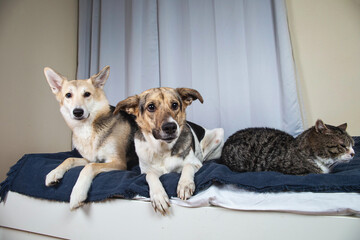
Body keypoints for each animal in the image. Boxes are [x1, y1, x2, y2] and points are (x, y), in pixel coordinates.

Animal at [43, 66, 136, 210]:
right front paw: (54, 172)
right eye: (68, 95)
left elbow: (89, 167)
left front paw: (77, 193)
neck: (87, 129)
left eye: (87, 94)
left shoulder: (118, 162)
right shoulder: (90, 159)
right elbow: (69, 159)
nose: (77, 112)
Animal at [114, 87, 224, 215]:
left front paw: (185, 185)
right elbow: (150, 175)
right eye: (151, 107)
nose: (170, 127)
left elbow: (188, 166)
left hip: (218, 134)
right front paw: (159, 196)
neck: (163, 149)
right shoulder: (144, 171)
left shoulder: (196, 163)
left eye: (174, 105)